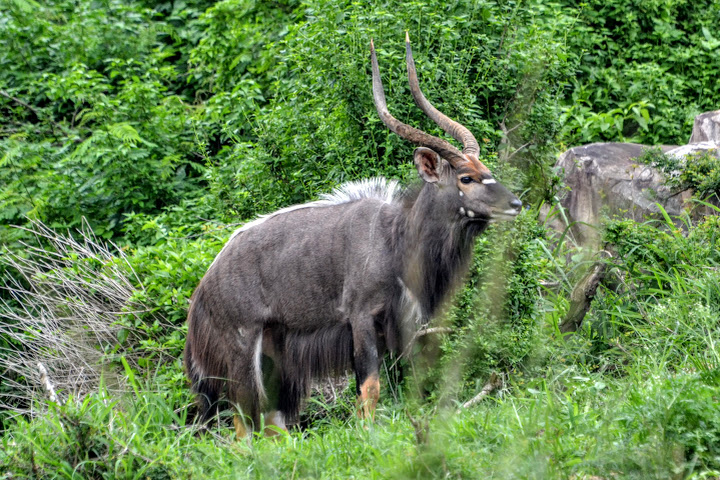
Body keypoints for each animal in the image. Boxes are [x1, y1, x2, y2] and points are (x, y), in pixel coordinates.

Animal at [184, 35, 524, 436]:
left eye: (485, 169)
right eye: (465, 178)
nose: (516, 203)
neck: (394, 239)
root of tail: (204, 289)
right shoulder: (361, 317)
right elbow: (370, 386)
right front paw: (367, 436)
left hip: (276, 358)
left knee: (270, 425)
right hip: (241, 353)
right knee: (242, 424)